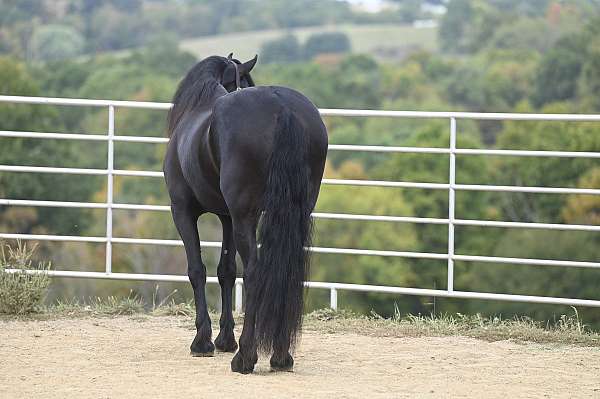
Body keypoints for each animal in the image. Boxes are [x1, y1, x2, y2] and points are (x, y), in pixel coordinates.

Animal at [164, 54, 328, 376]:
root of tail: (281, 106)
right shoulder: (226, 216)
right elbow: (226, 271)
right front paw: (224, 339)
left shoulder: (183, 211)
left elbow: (197, 269)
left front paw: (203, 341)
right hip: (292, 214)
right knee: (286, 270)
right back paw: (280, 356)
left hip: (244, 218)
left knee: (254, 272)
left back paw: (246, 358)